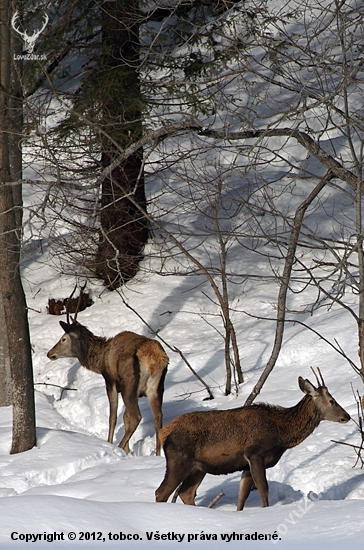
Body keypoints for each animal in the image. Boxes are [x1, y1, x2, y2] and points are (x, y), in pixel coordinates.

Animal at [46, 296, 169, 454]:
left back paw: (119, 447)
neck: (100, 361)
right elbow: (125, 417)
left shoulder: (110, 381)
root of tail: (156, 358)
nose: (50, 353)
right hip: (156, 388)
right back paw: (157, 454)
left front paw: (111, 444)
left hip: (129, 383)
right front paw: (128, 450)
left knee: (136, 416)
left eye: (63, 338)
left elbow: (113, 417)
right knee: (158, 416)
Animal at [156, 368, 350, 512]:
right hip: (178, 459)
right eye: (332, 401)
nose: (346, 416)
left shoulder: (246, 465)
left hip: (198, 467)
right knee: (161, 492)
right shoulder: (255, 453)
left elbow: (242, 495)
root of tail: (164, 432)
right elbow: (263, 490)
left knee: (186, 493)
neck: (281, 434)